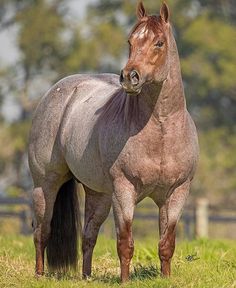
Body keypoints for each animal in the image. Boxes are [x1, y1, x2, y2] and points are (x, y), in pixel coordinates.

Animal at [29, 0, 199, 284]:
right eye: (130, 41)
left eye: (159, 43)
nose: (130, 77)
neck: (162, 130)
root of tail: (58, 91)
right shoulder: (124, 191)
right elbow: (125, 243)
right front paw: (125, 281)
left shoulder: (176, 193)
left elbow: (166, 244)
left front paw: (165, 279)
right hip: (46, 185)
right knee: (42, 231)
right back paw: (40, 275)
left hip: (98, 194)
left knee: (88, 235)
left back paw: (86, 277)